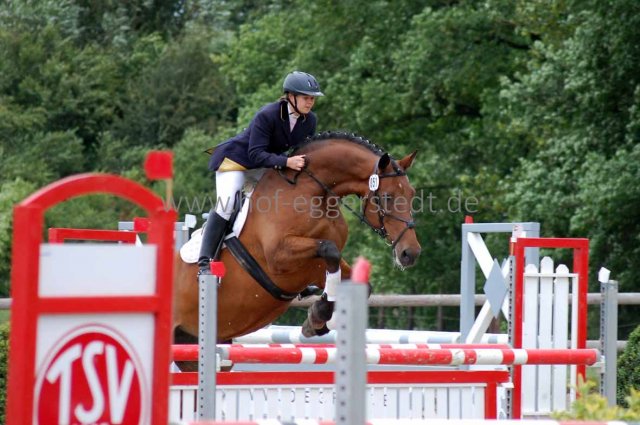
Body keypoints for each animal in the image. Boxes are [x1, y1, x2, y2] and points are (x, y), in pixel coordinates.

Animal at [173, 131, 421, 345]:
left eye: (411, 194)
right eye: (387, 197)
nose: (410, 253)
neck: (314, 193)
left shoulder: (315, 267)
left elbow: (358, 282)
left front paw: (318, 320)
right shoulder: (279, 256)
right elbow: (329, 248)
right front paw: (319, 314)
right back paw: (206, 267)